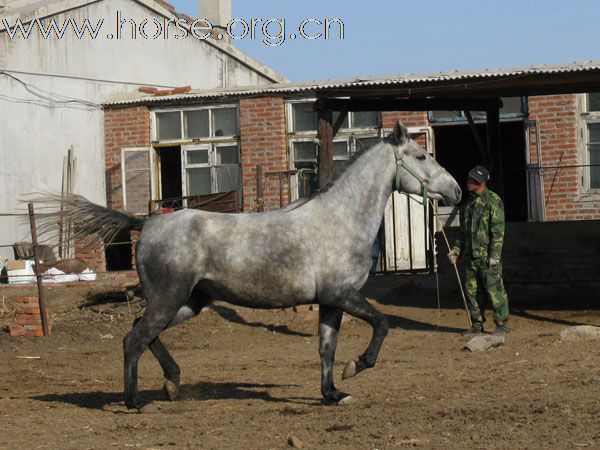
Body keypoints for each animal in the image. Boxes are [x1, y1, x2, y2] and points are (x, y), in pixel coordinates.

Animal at [36, 121, 460, 410]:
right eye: (421, 156)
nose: (454, 191)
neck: (341, 219)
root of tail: (149, 222)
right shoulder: (342, 294)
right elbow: (382, 323)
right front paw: (357, 366)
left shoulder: (330, 302)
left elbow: (326, 349)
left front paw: (333, 392)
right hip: (169, 299)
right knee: (134, 339)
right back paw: (135, 401)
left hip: (189, 302)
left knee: (143, 332)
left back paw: (173, 384)